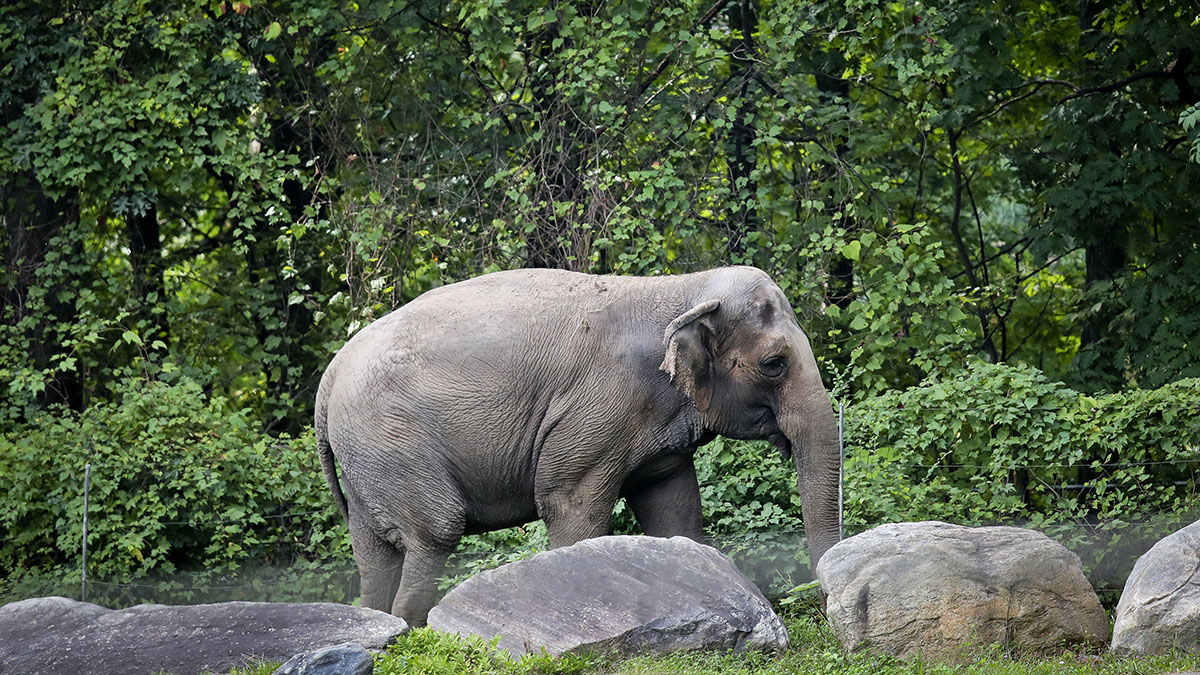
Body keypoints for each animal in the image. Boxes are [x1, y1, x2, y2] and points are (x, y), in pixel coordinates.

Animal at [316, 266, 841, 626]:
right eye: (774, 364)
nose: (822, 606)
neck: (682, 289)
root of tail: (330, 374)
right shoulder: (597, 411)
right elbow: (571, 506)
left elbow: (675, 511)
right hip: (393, 441)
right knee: (434, 533)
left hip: (367, 459)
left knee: (374, 554)